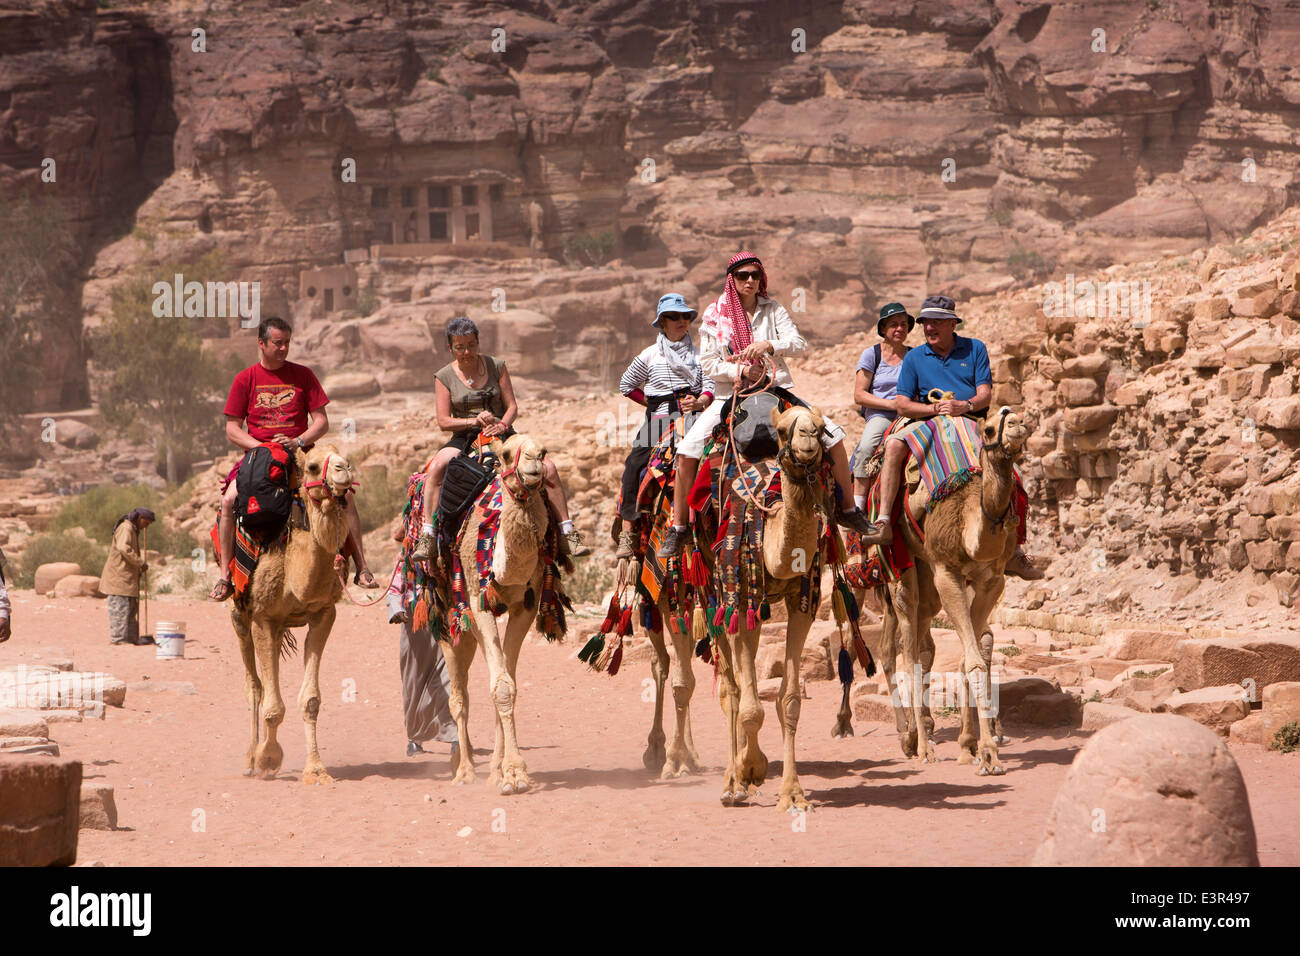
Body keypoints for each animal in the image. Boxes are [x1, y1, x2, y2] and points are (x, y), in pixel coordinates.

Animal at [231, 442, 356, 785]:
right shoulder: (263, 618)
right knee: (254, 687)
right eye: (312, 466)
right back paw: (249, 759)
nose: (343, 470)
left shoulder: (324, 613)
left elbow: (310, 700)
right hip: (242, 617)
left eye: (346, 458)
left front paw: (316, 769)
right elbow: (272, 704)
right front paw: (268, 759)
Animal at [444, 431, 556, 790]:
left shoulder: (526, 606)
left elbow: (508, 683)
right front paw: (513, 774)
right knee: (458, 696)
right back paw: (464, 770)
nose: (534, 464)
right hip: (448, 621)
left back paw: (488, 767)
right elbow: (502, 686)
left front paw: (508, 770)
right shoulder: (478, 601)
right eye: (507, 454)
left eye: (544, 451)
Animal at [712, 403, 832, 816]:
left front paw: (792, 793)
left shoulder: (803, 603)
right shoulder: (741, 600)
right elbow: (750, 707)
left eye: (822, 427)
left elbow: (789, 701)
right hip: (712, 600)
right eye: (781, 431)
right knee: (731, 691)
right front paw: (749, 770)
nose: (807, 439)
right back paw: (731, 781)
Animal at [878, 408, 1029, 775]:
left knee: (921, 643)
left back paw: (919, 735)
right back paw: (919, 745)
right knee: (905, 649)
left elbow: (970, 657)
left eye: (1022, 418)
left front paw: (971, 746)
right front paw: (988, 754)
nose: (1016, 423)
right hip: (902, 563)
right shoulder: (947, 572)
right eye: (988, 429)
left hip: (926, 577)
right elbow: (972, 660)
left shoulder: (991, 579)